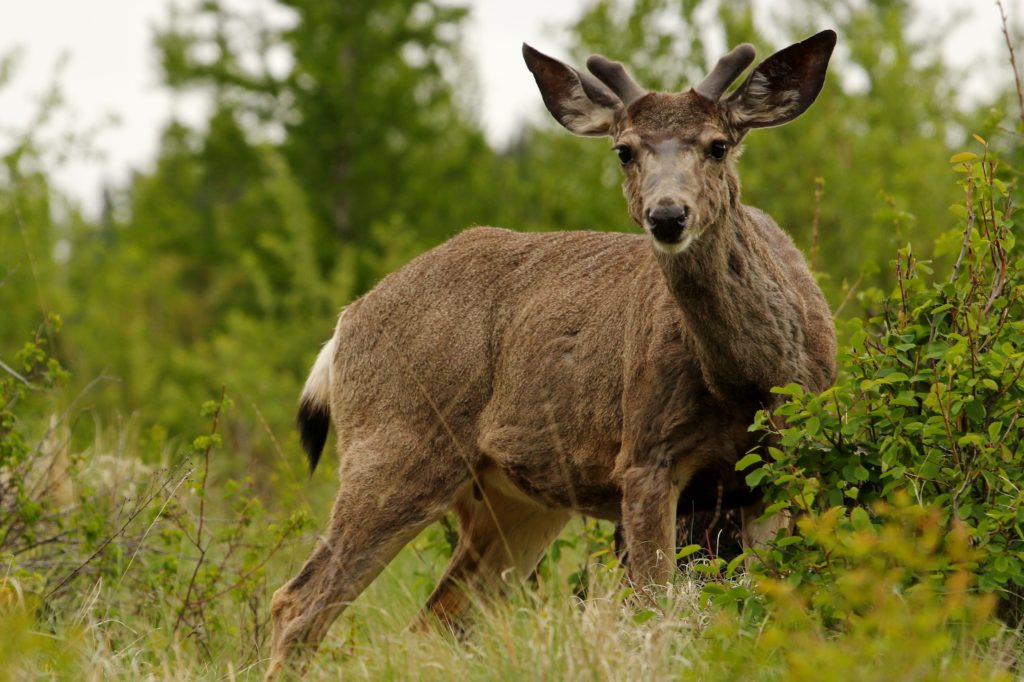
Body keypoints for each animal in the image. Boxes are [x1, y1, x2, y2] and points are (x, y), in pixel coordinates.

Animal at [266, 30, 839, 675]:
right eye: (624, 151)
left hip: (512, 502)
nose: (667, 214)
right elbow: (655, 608)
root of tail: (345, 324)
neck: (747, 382)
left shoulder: (785, 465)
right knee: (299, 602)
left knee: (434, 621)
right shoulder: (645, 456)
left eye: (718, 145)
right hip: (395, 444)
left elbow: (773, 600)